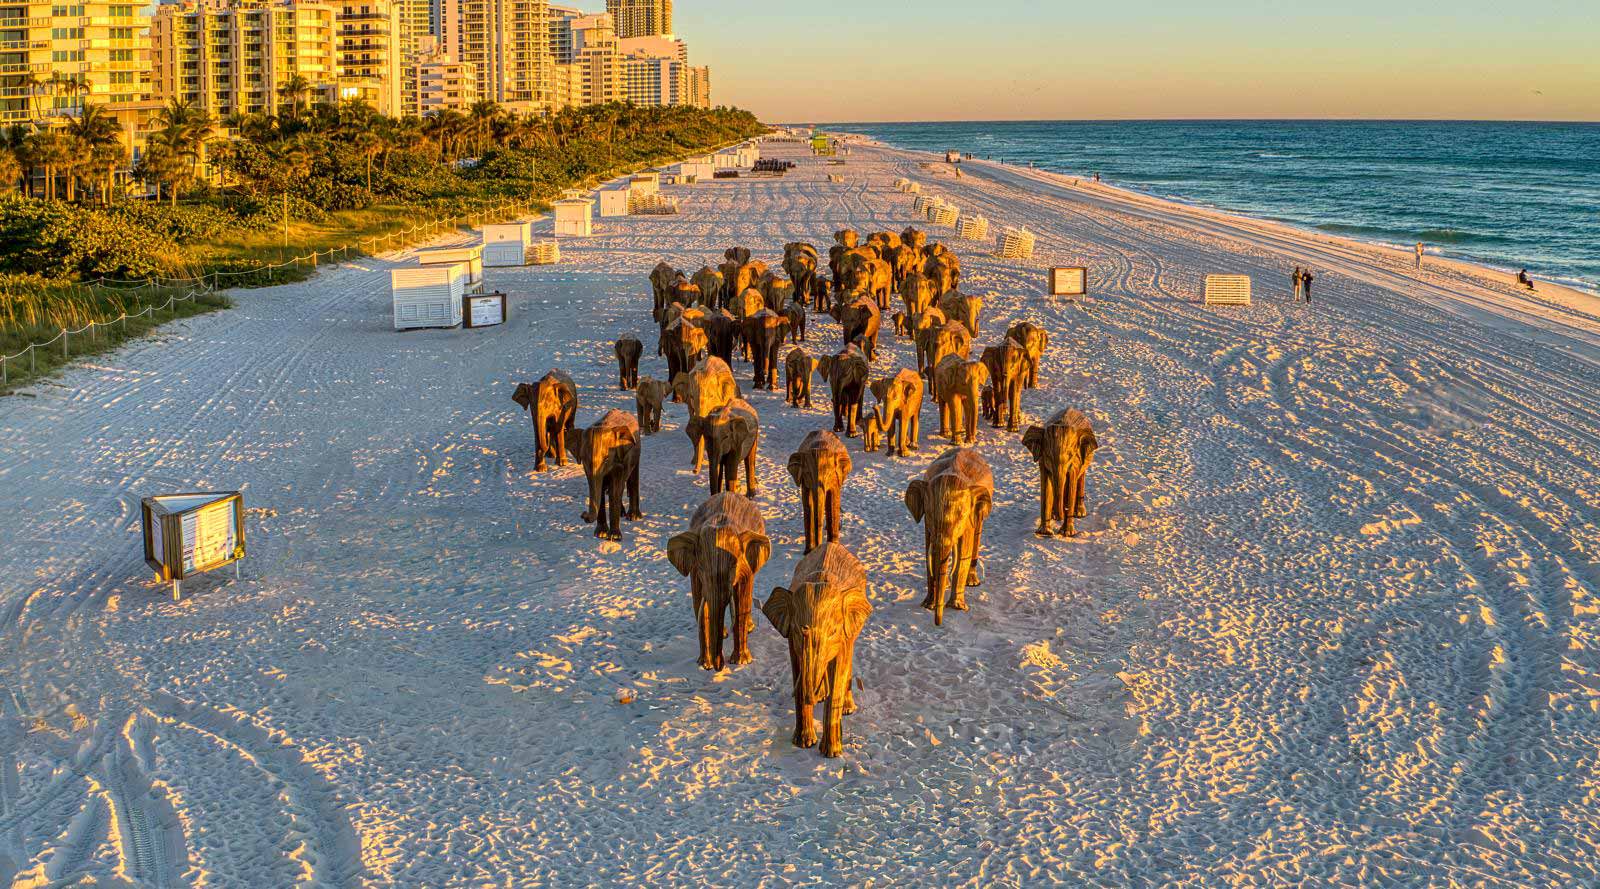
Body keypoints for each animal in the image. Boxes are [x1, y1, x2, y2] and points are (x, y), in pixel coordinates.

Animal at [573, 409, 642, 540]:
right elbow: (601, 490)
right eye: (583, 459)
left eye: (606, 459)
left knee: (632, 478)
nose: (583, 514)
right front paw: (600, 534)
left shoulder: (618, 461)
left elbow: (615, 489)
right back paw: (622, 513)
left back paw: (633, 517)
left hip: (637, 449)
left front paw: (614, 537)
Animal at [668, 491, 771, 671]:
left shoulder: (744, 565)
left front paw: (741, 662)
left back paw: (747, 629)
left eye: (733, 566)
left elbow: (741, 600)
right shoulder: (695, 569)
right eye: (702, 567)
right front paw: (704, 664)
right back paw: (724, 634)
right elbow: (700, 603)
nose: (719, 665)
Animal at [762, 542, 872, 757]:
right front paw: (803, 744)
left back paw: (847, 708)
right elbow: (797, 666)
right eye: (797, 629)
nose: (811, 696)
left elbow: (838, 672)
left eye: (833, 632)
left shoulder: (843, 636)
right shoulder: (792, 640)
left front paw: (831, 754)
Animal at [905, 448, 993, 626]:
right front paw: (928, 605)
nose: (937, 624)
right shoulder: (927, 521)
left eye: (960, 518)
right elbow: (930, 553)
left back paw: (972, 582)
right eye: (931, 514)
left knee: (977, 535)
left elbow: (964, 551)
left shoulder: (968, 517)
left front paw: (957, 607)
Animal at [1023, 408, 1099, 537]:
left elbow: (1071, 483)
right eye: (1048, 455)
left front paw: (1067, 533)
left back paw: (1079, 513)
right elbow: (1046, 485)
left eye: (1071, 455)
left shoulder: (1076, 461)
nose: (1061, 515)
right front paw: (1045, 533)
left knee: (1080, 478)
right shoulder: (1042, 460)